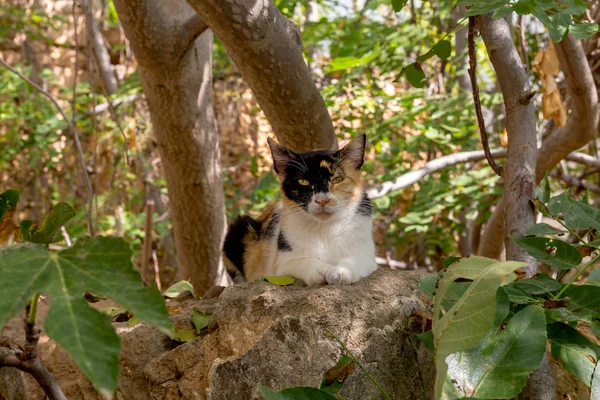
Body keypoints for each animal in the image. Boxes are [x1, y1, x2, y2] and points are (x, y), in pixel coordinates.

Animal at [223, 136, 378, 286]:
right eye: (303, 182)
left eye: (337, 179)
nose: (322, 200)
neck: (325, 230)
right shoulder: (280, 266)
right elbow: (302, 262)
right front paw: (321, 271)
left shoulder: (367, 254)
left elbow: (355, 259)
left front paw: (341, 272)